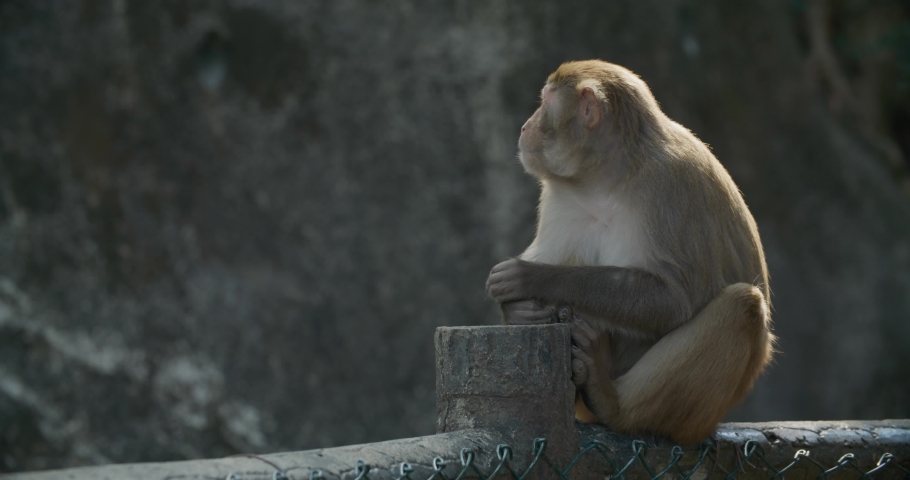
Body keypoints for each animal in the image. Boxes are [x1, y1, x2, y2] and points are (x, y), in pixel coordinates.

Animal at [485, 60, 774, 445]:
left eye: (545, 101)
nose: (524, 127)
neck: (605, 179)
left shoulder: (668, 184)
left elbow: (673, 299)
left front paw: (533, 279)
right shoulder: (560, 194)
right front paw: (518, 311)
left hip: (697, 417)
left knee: (743, 305)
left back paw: (614, 405)